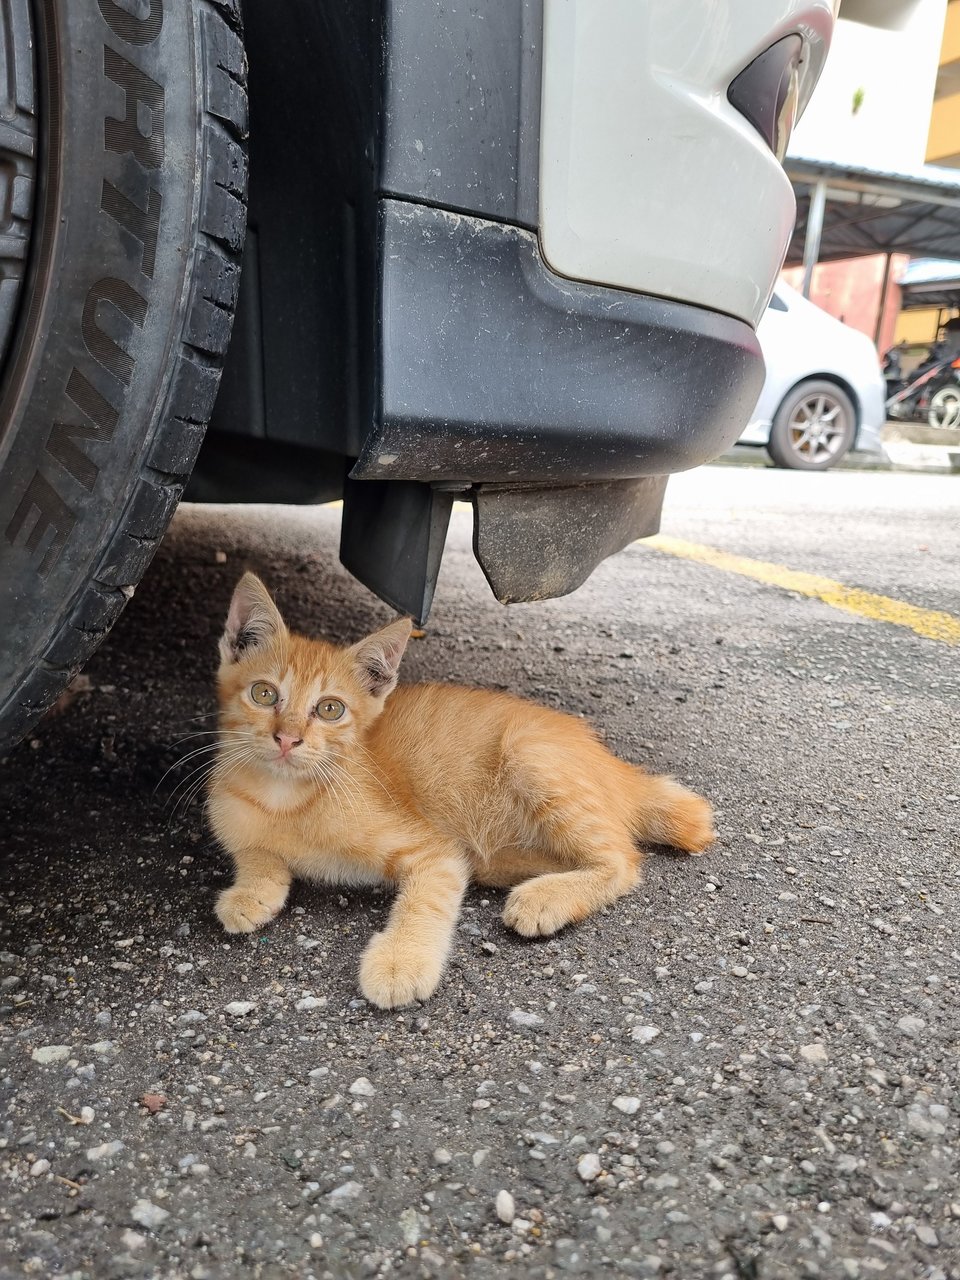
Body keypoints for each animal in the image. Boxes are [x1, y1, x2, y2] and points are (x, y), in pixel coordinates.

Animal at [209, 576, 716, 1003]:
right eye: (264, 694)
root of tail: (614, 764)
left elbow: (426, 901)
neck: (281, 799)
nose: (287, 738)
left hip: (529, 755)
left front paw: (400, 961)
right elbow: (255, 854)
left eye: (330, 709)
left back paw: (545, 897)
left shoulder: (437, 851)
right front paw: (251, 892)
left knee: (622, 861)